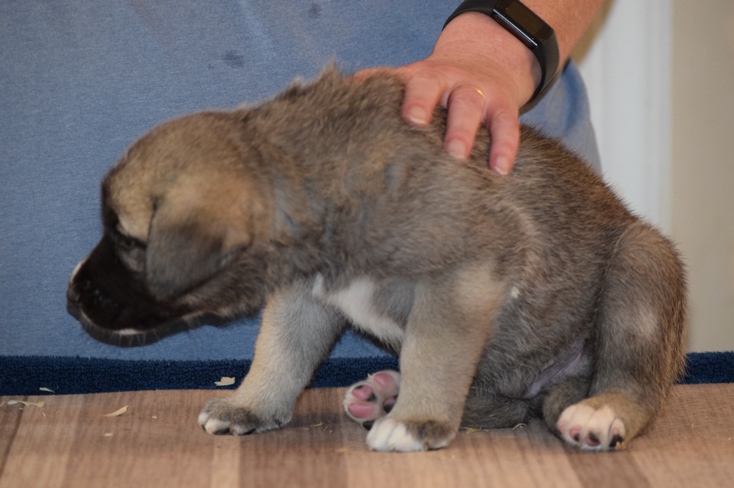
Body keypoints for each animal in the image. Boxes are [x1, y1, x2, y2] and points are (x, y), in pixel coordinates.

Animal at [67, 67, 686, 452]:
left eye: (127, 239)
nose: (72, 296)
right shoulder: (303, 296)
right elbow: (278, 354)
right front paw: (250, 405)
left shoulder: (464, 275)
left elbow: (435, 355)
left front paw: (417, 421)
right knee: (499, 404)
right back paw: (384, 393)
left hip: (640, 262)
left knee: (636, 381)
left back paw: (600, 411)